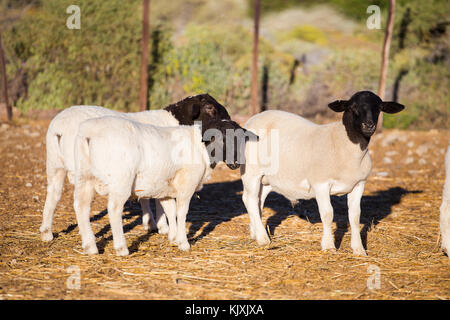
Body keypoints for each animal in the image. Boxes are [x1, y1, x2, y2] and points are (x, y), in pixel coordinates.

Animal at [38, 94, 232, 241]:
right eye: (210, 108)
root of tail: (60, 128)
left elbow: (146, 196)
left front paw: (151, 223)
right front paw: (163, 226)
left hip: (54, 165)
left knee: (53, 195)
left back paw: (47, 233)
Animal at [74, 115, 256, 255]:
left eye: (241, 139)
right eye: (221, 139)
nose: (236, 164)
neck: (202, 149)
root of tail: (89, 134)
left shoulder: (166, 187)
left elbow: (170, 210)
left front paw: (174, 238)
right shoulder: (186, 184)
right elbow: (182, 213)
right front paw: (183, 243)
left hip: (84, 178)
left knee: (81, 207)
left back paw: (90, 247)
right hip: (121, 180)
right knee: (113, 210)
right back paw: (121, 248)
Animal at [241, 91, 406, 256]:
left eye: (379, 107)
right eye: (352, 107)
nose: (369, 125)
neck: (343, 143)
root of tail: (254, 118)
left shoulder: (359, 184)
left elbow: (355, 216)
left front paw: (359, 249)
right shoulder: (321, 183)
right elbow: (327, 214)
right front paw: (328, 246)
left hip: (268, 178)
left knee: (258, 200)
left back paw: (255, 233)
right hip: (251, 172)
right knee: (249, 199)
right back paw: (263, 239)